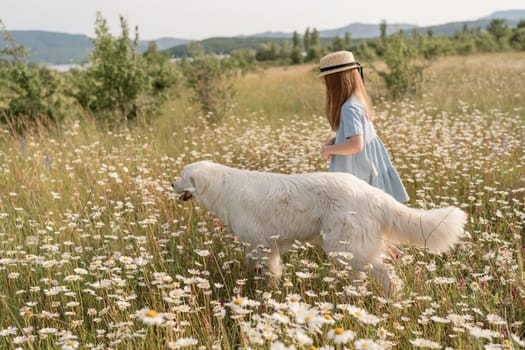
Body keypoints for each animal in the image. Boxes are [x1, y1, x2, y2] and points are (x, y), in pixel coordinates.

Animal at [173, 160, 466, 292]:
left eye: (183, 176)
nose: (171, 184)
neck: (222, 188)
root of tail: (372, 193)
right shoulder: (267, 246)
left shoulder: (262, 244)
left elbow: (266, 273)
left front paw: (266, 293)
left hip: (345, 246)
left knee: (386, 274)